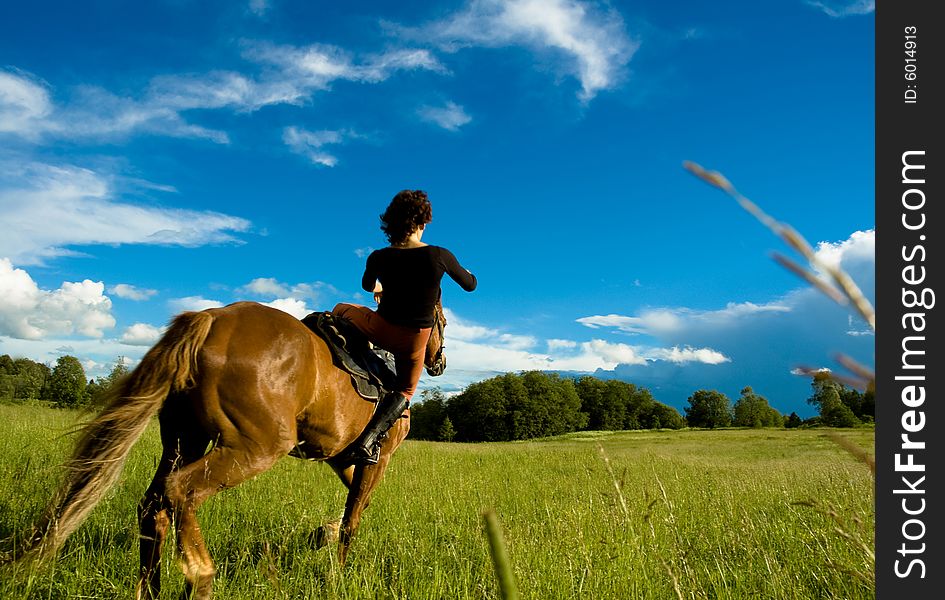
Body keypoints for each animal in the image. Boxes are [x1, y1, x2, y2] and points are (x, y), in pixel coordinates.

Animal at [11, 300, 446, 600]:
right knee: (181, 491)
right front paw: (337, 570)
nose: (439, 362)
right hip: (254, 446)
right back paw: (200, 578)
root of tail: (211, 319)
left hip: (184, 439)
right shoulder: (377, 456)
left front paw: (320, 534)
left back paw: (152, 589)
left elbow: (358, 502)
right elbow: (354, 516)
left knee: (154, 506)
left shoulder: (344, 458)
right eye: (442, 323)